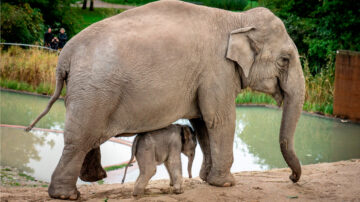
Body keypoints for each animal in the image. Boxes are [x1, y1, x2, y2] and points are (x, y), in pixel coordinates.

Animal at [26, 0, 306, 200]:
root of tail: (65, 55)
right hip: (93, 92)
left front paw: (207, 180)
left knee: (86, 137)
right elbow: (219, 119)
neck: (237, 18)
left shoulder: (206, 77)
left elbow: (203, 122)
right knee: (80, 138)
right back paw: (67, 195)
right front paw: (226, 183)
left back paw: (92, 179)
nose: (292, 179)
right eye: (285, 60)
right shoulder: (218, 70)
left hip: (86, 92)